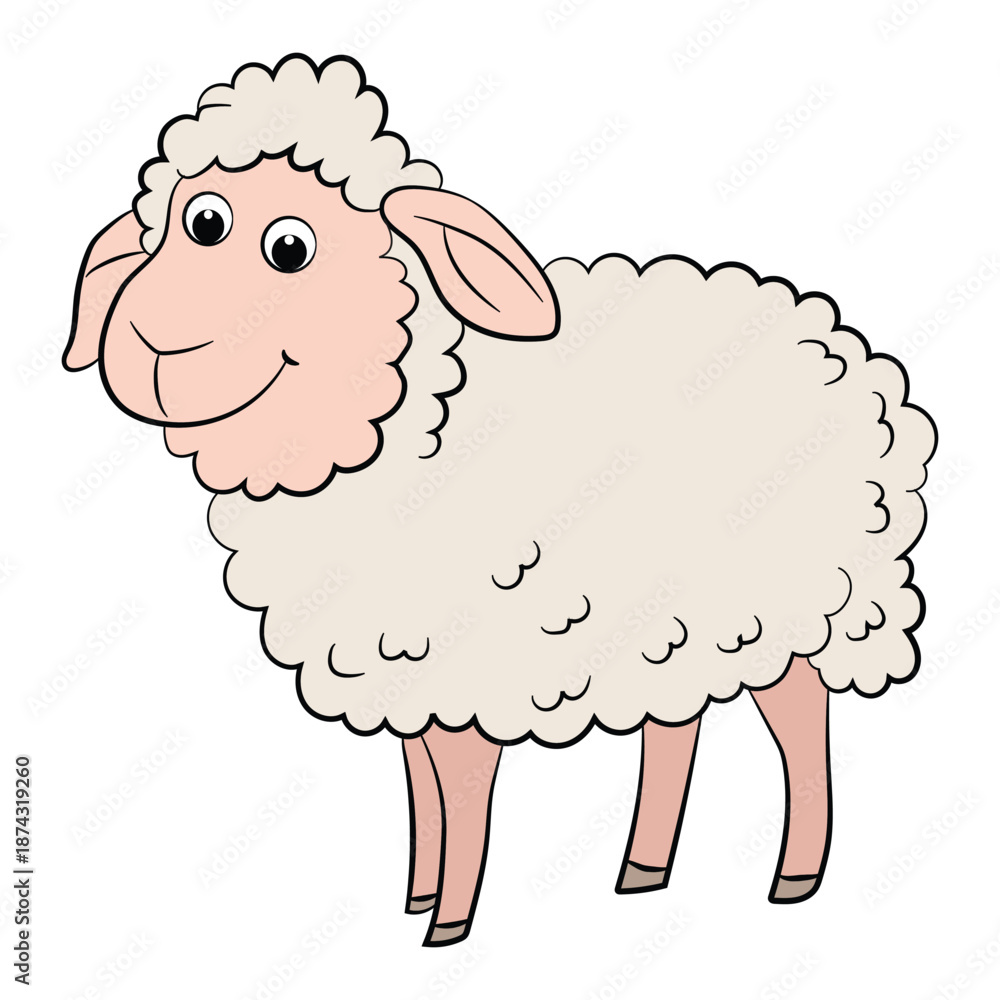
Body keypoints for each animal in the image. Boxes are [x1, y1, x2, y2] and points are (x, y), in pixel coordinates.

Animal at [65, 54, 937, 947]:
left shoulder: (462, 668)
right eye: (198, 220)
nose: (146, 345)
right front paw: (416, 897)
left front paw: (446, 926)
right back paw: (643, 868)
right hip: (675, 623)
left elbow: (461, 789)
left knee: (800, 720)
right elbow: (421, 788)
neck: (405, 430)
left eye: (288, 246)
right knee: (675, 727)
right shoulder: (396, 664)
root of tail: (826, 337)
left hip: (797, 606)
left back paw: (795, 876)